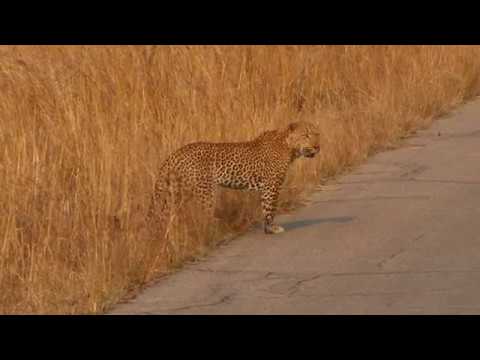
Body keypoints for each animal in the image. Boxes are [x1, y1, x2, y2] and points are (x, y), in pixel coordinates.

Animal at [145, 119, 318, 235]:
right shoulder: (272, 185)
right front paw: (271, 228)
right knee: (204, 215)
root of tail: (174, 154)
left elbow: (265, 206)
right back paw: (215, 231)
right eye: (306, 135)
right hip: (204, 191)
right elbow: (270, 208)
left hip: (175, 191)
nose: (318, 146)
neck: (289, 147)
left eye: (317, 135)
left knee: (167, 214)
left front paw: (268, 228)